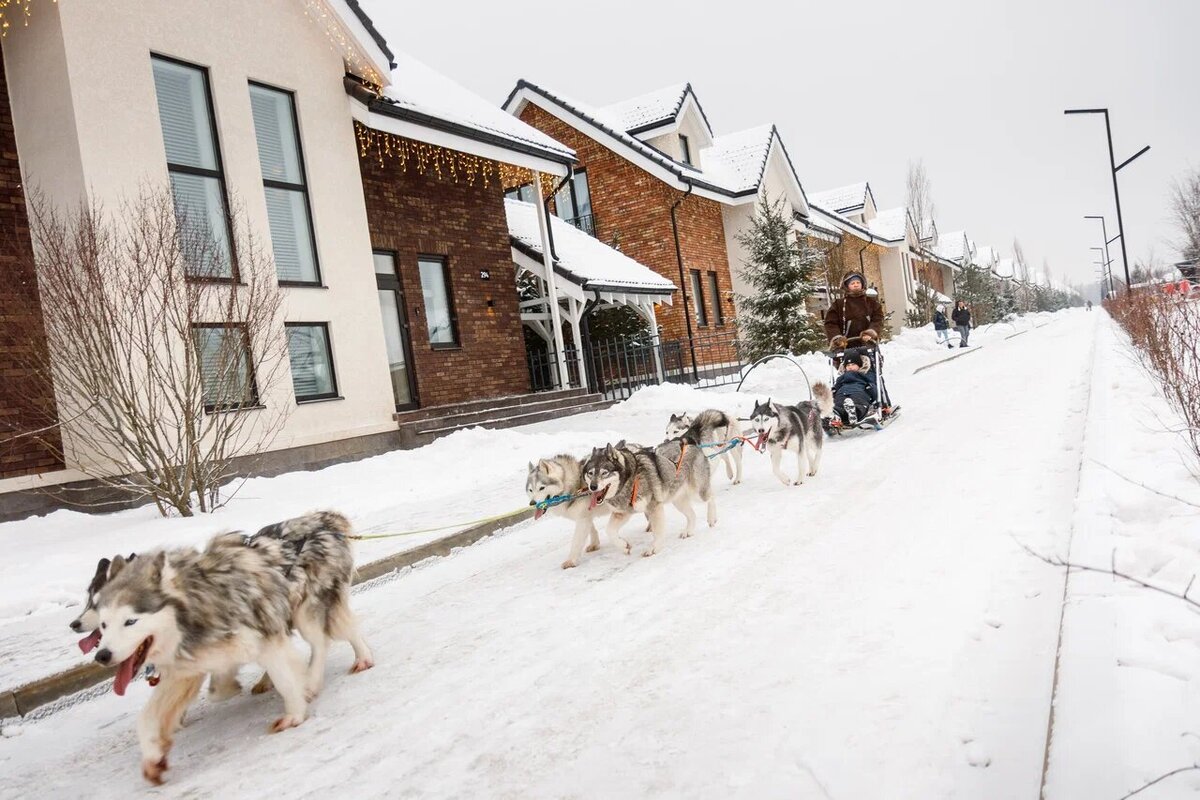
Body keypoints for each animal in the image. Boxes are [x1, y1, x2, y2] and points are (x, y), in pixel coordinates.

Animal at [92, 532, 309, 782]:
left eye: (130, 621)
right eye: (104, 625)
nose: (102, 655)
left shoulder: (266, 640)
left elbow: (286, 680)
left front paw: (295, 714)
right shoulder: (184, 671)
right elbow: (147, 718)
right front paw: (154, 756)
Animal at [578, 441, 710, 561]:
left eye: (604, 473)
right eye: (590, 473)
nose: (593, 487)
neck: (631, 481)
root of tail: (690, 444)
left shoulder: (654, 507)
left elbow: (657, 531)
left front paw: (654, 548)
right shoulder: (622, 513)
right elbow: (609, 531)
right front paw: (624, 546)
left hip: (697, 493)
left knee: (710, 497)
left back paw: (711, 519)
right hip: (678, 501)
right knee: (692, 515)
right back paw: (688, 531)